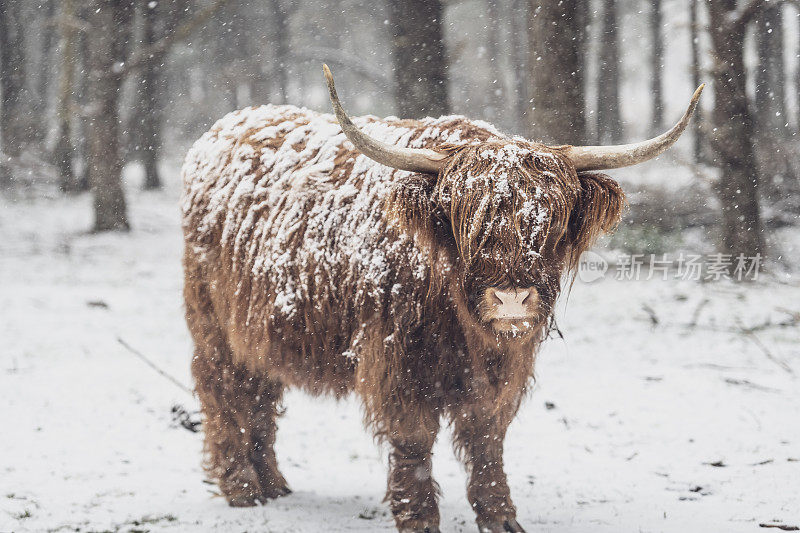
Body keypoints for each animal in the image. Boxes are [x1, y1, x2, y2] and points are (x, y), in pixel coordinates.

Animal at [180, 67, 700, 532]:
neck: (462, 327)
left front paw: (500, 517)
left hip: (257, 329)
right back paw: (243, 488)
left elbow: (487, 440)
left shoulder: (500, 372)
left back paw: (274, 484)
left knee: (259, 394)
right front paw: (420, 520)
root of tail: (227, 125)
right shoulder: (398, 362)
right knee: (223, 391)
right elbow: (412, 444)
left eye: (552, 221)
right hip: (213, 323)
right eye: (466, 221)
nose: (512, 298)